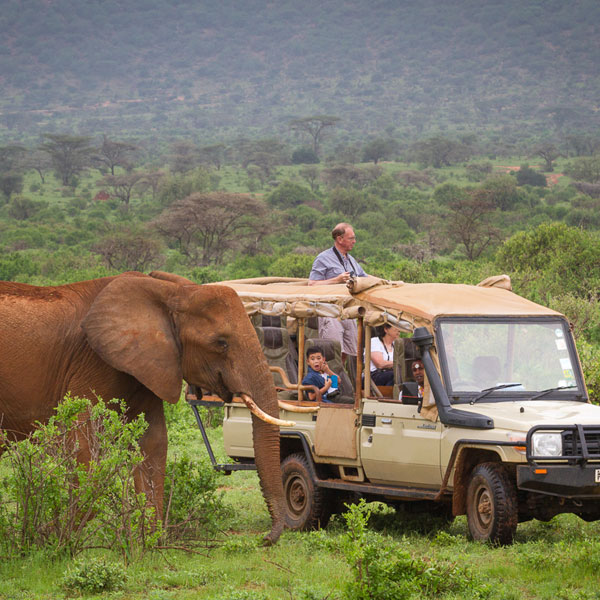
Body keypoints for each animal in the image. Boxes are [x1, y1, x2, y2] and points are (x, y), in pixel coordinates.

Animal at [0, 272, 290, 544]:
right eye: (221, 342)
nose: (265, 539)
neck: (172, 292)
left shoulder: (149, 363)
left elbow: (153, 441)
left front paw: (148, 543)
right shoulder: (93, 362)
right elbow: (84, 441)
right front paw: (47, 535)